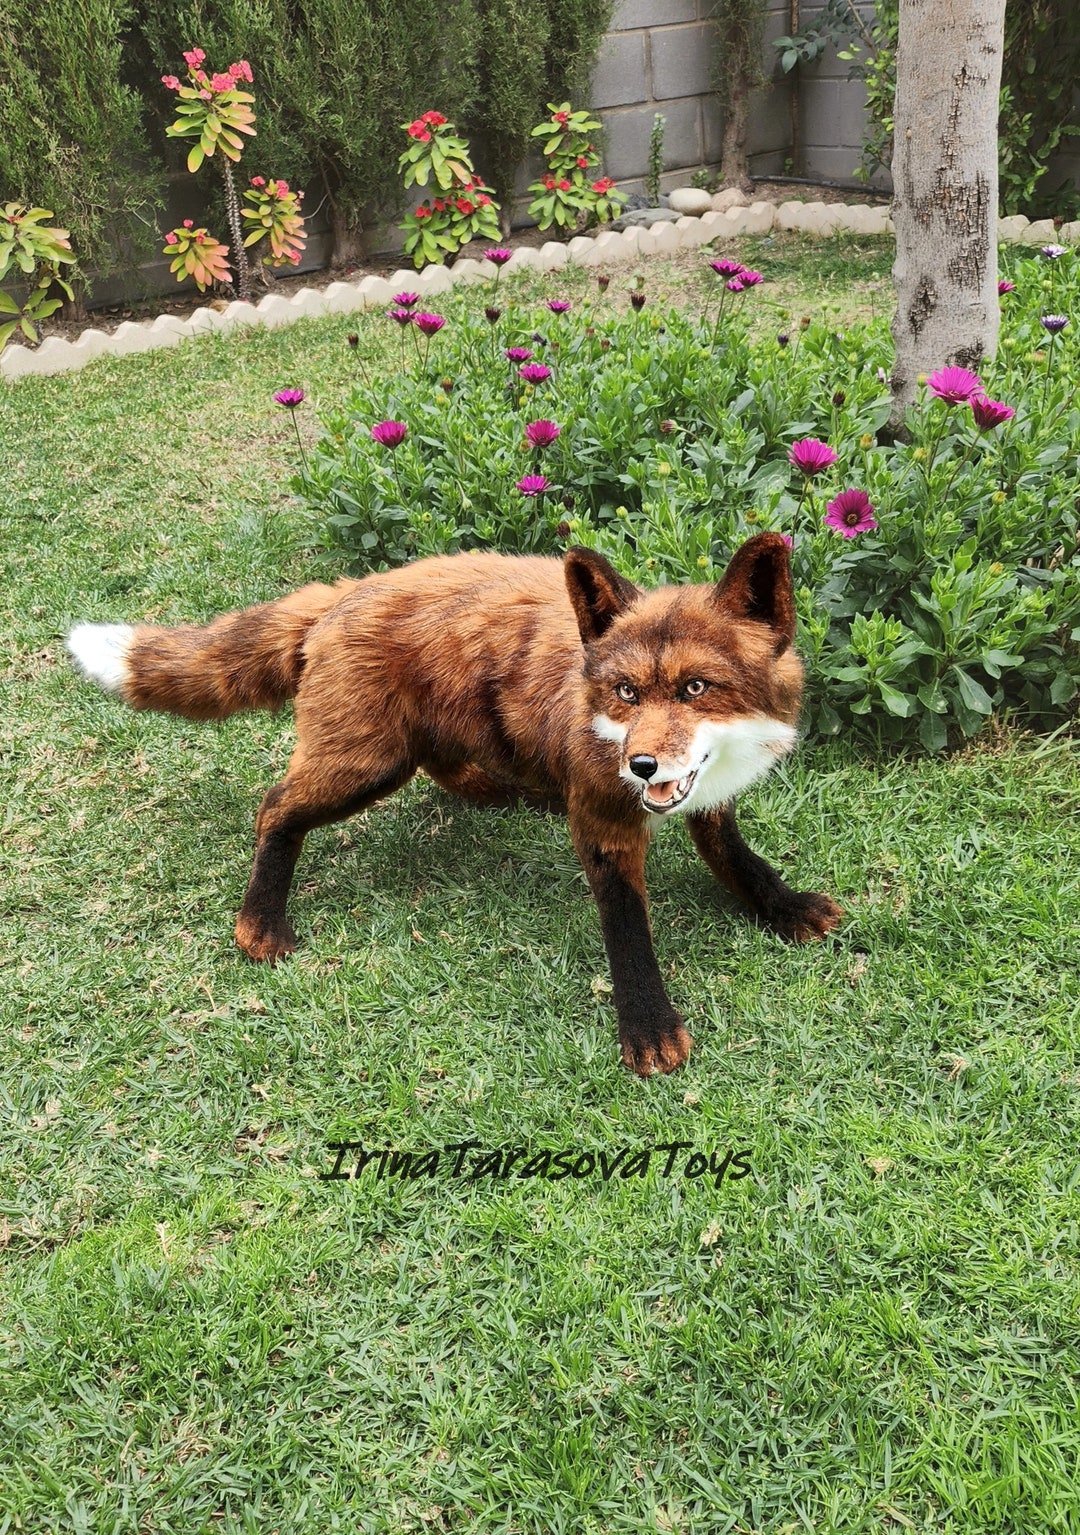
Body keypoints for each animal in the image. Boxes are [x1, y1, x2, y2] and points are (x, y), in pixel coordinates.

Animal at [67, 533, 842, 1076]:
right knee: (275, 807)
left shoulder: (706, 796)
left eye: (695, 688)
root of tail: (348, 588)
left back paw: (507, 789)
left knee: (436, 763)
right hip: (364, 768)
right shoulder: (605, 821)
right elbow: (627, 931)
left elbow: (738, 859)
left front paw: (782, 908)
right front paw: (647, 1029)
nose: (641, 764)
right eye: (626, 692)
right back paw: (259, 922)